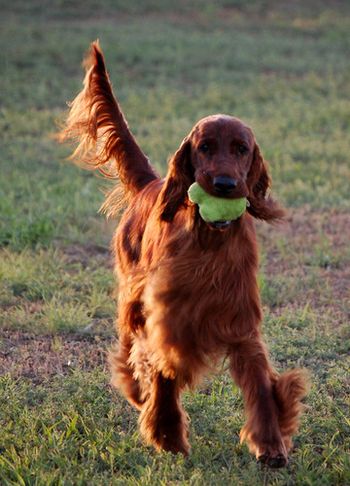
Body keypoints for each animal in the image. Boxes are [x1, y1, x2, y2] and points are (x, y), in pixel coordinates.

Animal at [58, 41, 308, 468]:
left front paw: (271, 443)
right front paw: (167, 434)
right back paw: (135, 389)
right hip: (133, 294)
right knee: (130, 344)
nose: (224, 184)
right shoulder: (168, 316)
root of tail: (151, 184)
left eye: (241, 149)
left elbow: (259, 383)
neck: (210, 240)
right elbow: (164, 370)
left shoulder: (240, 321)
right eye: (204, 147)